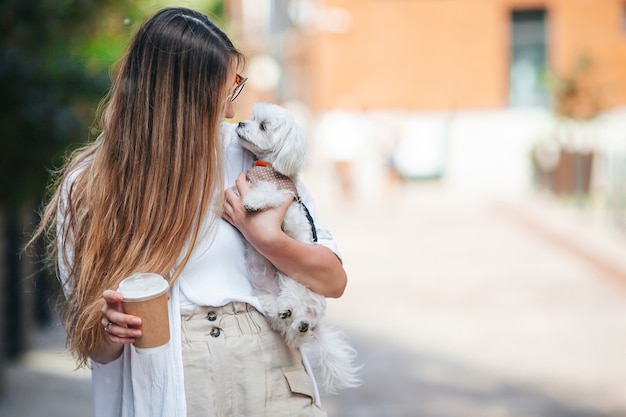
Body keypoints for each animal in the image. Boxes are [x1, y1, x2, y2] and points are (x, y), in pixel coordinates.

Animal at [234, 101, 360, 394]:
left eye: (263, 126)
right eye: (252, 118)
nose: (241, 123)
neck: (267, 165)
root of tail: (314, 317)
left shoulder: (287, 204)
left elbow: (269, 192)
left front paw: (253, 201)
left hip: (294, 280)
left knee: (295, 316)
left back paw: (297, 319)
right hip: (267, 298)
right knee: (283, 322)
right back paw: (291, 318)